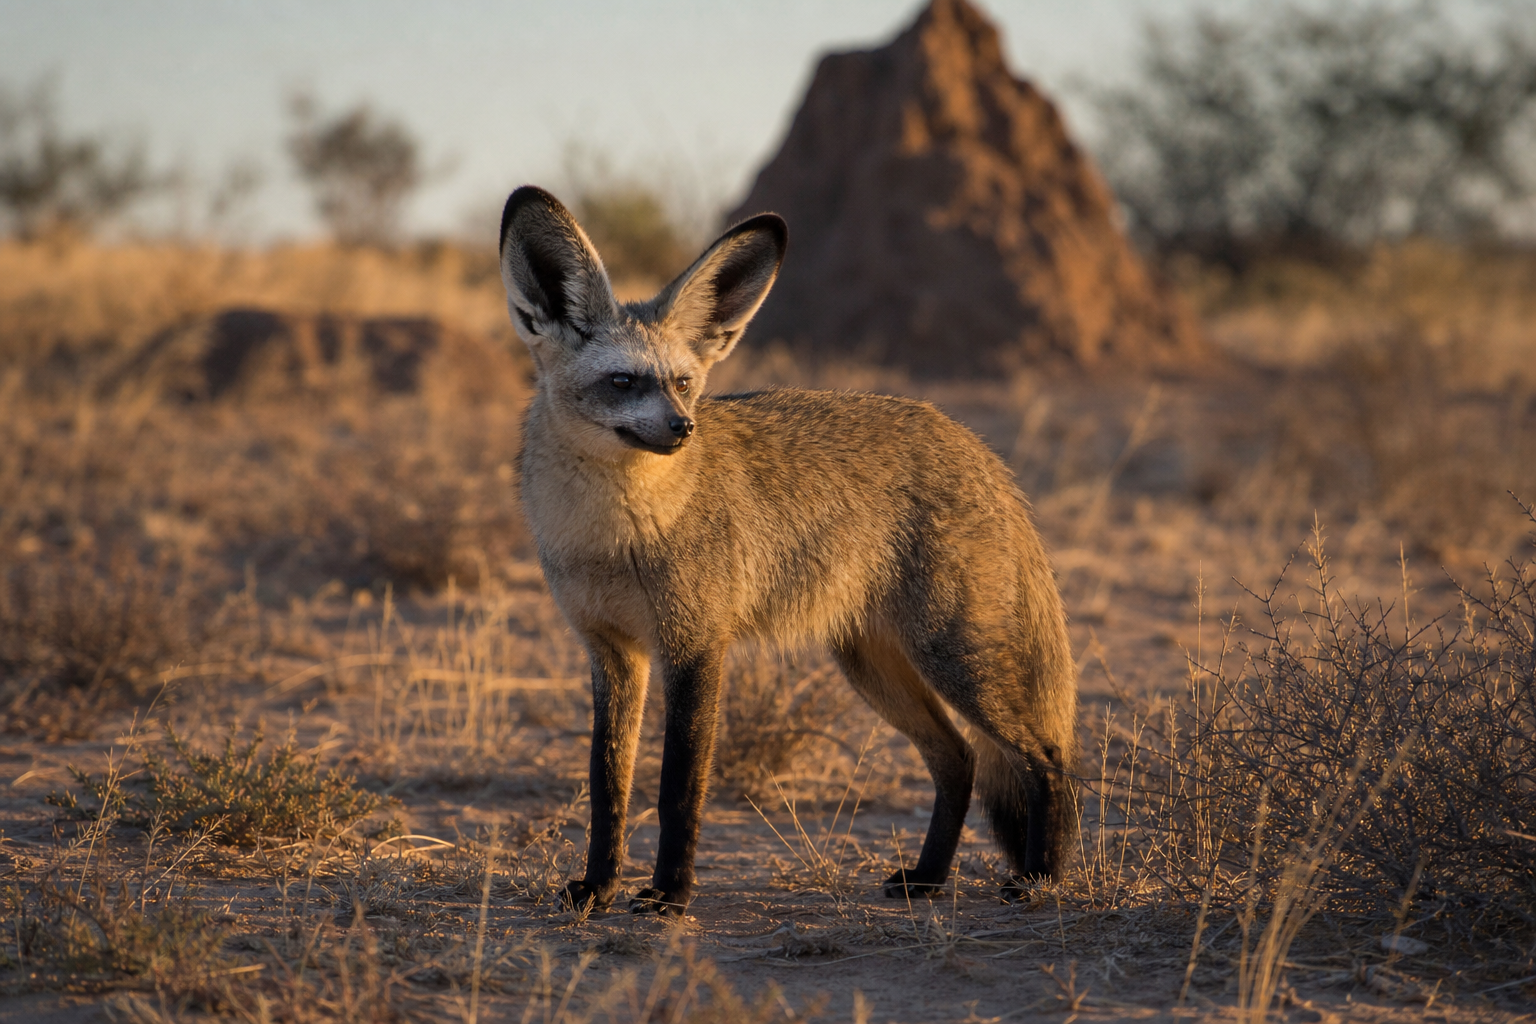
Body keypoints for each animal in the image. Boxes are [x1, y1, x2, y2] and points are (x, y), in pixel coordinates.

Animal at [498, 185, 1078, 916]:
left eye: (682, 383)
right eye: (623, 382)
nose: (683, 429)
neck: (614, 536)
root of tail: (977, 448)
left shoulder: (694, 646)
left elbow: (678, 790)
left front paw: (670, 895)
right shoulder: (612, 653)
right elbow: (610, 787)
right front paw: (598, 886)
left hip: (956, 661)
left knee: (1044, 759)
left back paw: (1040, 878)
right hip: (874, 667)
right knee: (960, 759)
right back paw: (928, 878)